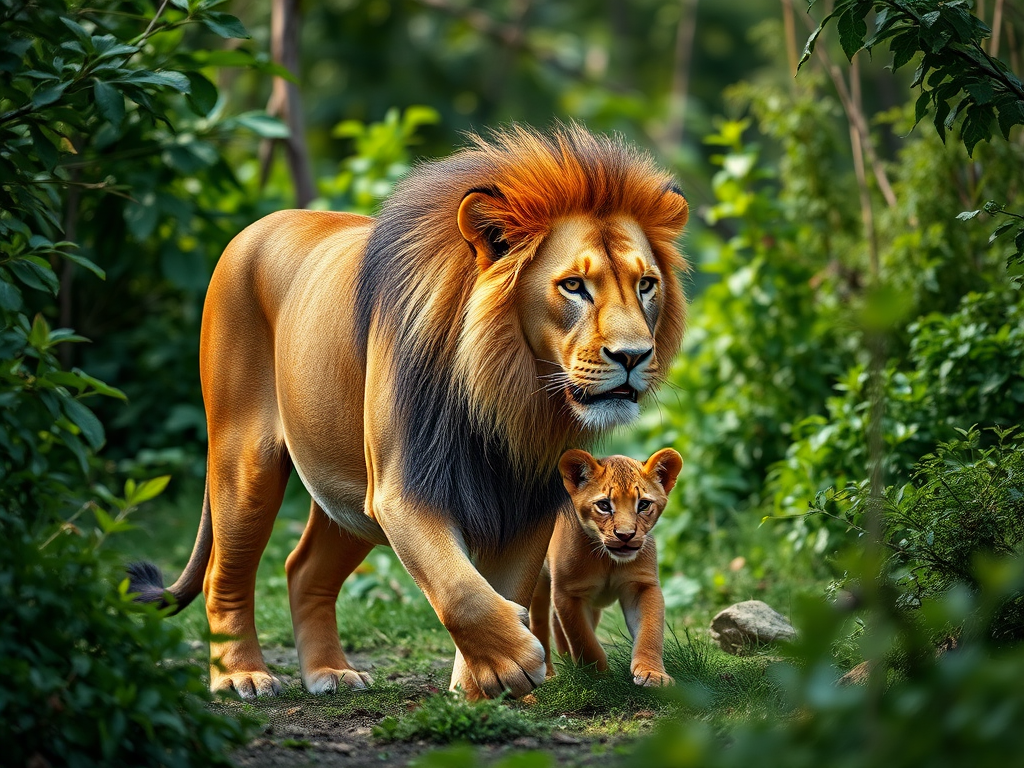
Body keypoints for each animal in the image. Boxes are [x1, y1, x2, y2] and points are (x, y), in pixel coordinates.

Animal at [530, 449, 682, 687]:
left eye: (643, 505)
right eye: (604, 505)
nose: (625, 535)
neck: (608, 560)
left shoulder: (642, 585)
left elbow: (650, 631)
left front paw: (652, 674)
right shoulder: (568, 592)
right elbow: (584, 640)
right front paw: (599, 678)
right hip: (540, 582)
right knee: (540, 623)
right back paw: (548, 674)